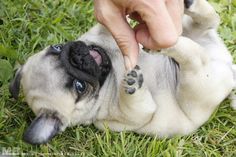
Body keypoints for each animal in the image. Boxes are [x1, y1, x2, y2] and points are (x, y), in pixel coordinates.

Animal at [9, 0, 236, 145]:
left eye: (57, 47)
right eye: (79, 87)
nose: (77, 57)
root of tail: (225, 63)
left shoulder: (101, 31)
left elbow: (107, 26)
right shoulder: (133, 115)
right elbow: (136, 105)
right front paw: (132, 84)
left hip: (193, 34)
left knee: (208, 21)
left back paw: (189, 7)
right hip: (197, 83)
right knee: (192, 56)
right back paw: (161, 46)